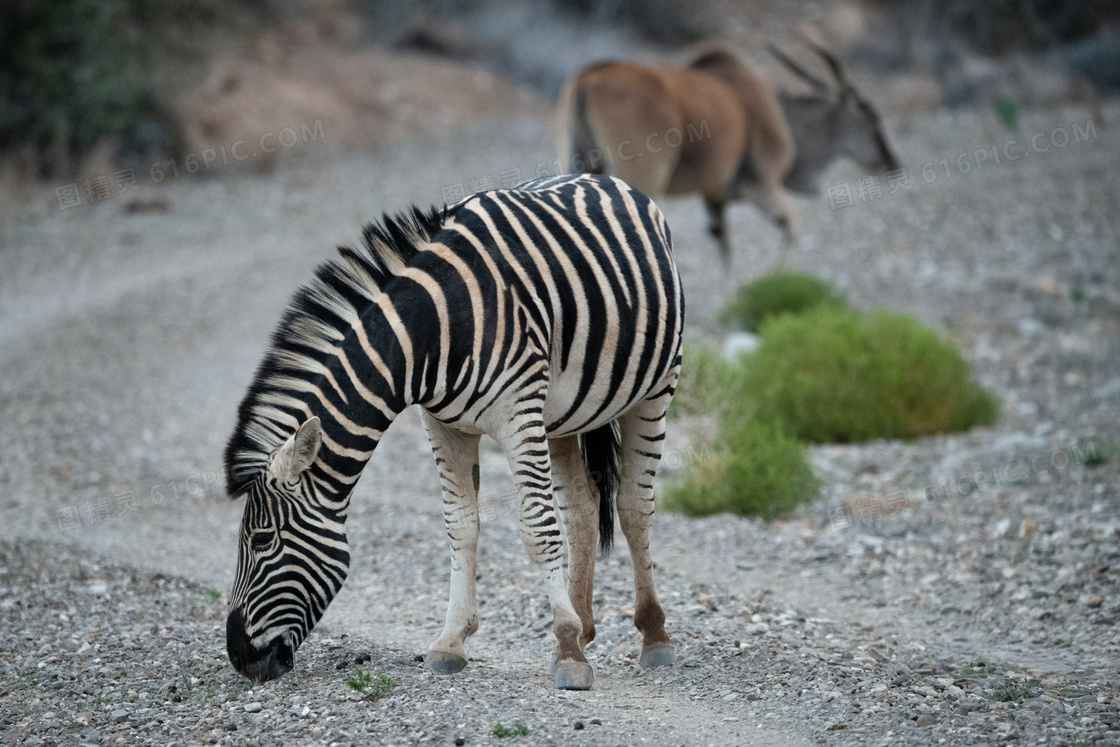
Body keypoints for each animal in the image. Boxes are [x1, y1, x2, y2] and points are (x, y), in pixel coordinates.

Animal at [221, 173, 680, 689]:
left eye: (262, 540)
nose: (239, 657)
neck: (434, 330)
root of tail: (601, 177)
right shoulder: (443, 425)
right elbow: (460, 525)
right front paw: (451, 642)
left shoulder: (518, 413)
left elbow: (538, 528)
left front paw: (566, 650)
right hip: (563, 414)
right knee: (581, 505)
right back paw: (584, 624)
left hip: (656, 388)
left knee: (634, 506)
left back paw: (652, 635)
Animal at [557, 45, 900, 267]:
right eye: (872, 118)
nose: (892, 162)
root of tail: (589, 76)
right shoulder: (761, 186)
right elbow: (793, 227)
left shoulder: (714, 197)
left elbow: (724, 248)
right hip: (641, 178)